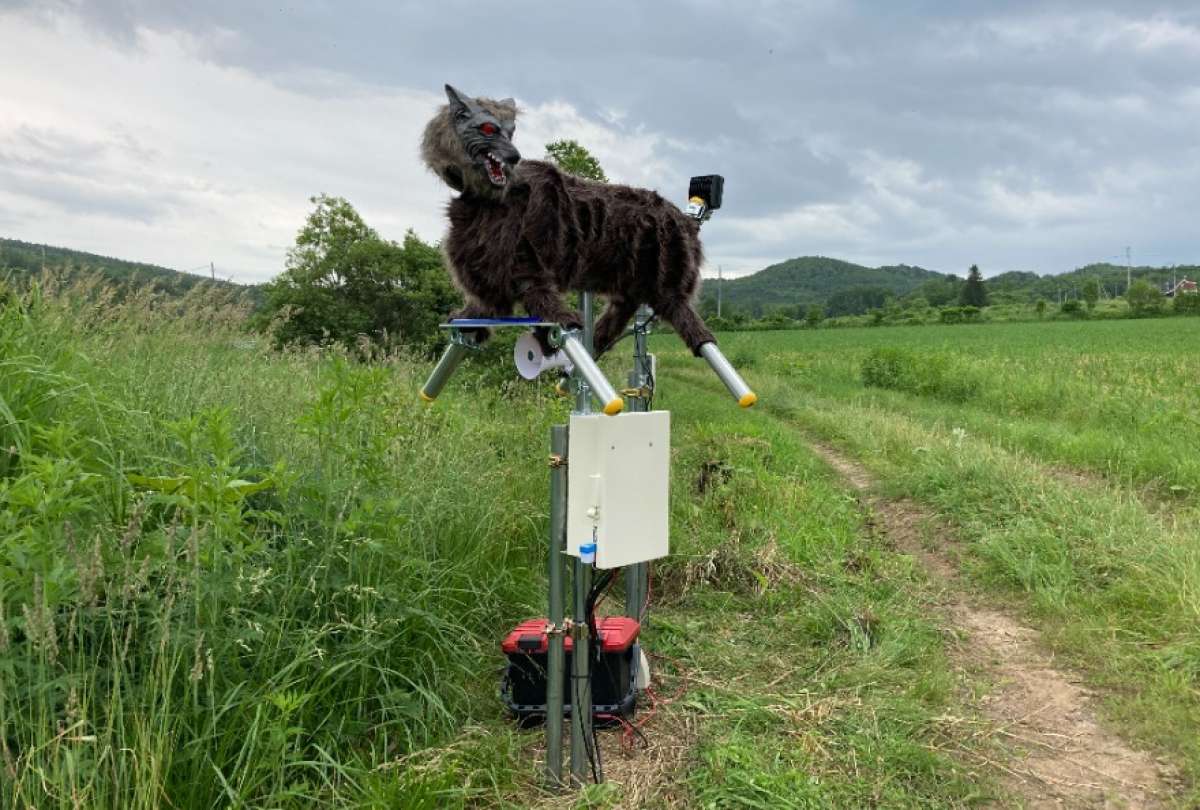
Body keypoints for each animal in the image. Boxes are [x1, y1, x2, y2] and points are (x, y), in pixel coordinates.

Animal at [420, 84, 717, 358]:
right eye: (488, 128)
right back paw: (598, 338)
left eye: (512, 130)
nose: (514, 156)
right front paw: (468, 316)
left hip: (667, 281)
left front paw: (557, 327)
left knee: (684, 315)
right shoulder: (491, 273)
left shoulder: (527, 264)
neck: (484, 202)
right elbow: (487, 305)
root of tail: (686, 220)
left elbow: (542, 298)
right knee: (621, 308)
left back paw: (699, 339)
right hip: (631, 282)